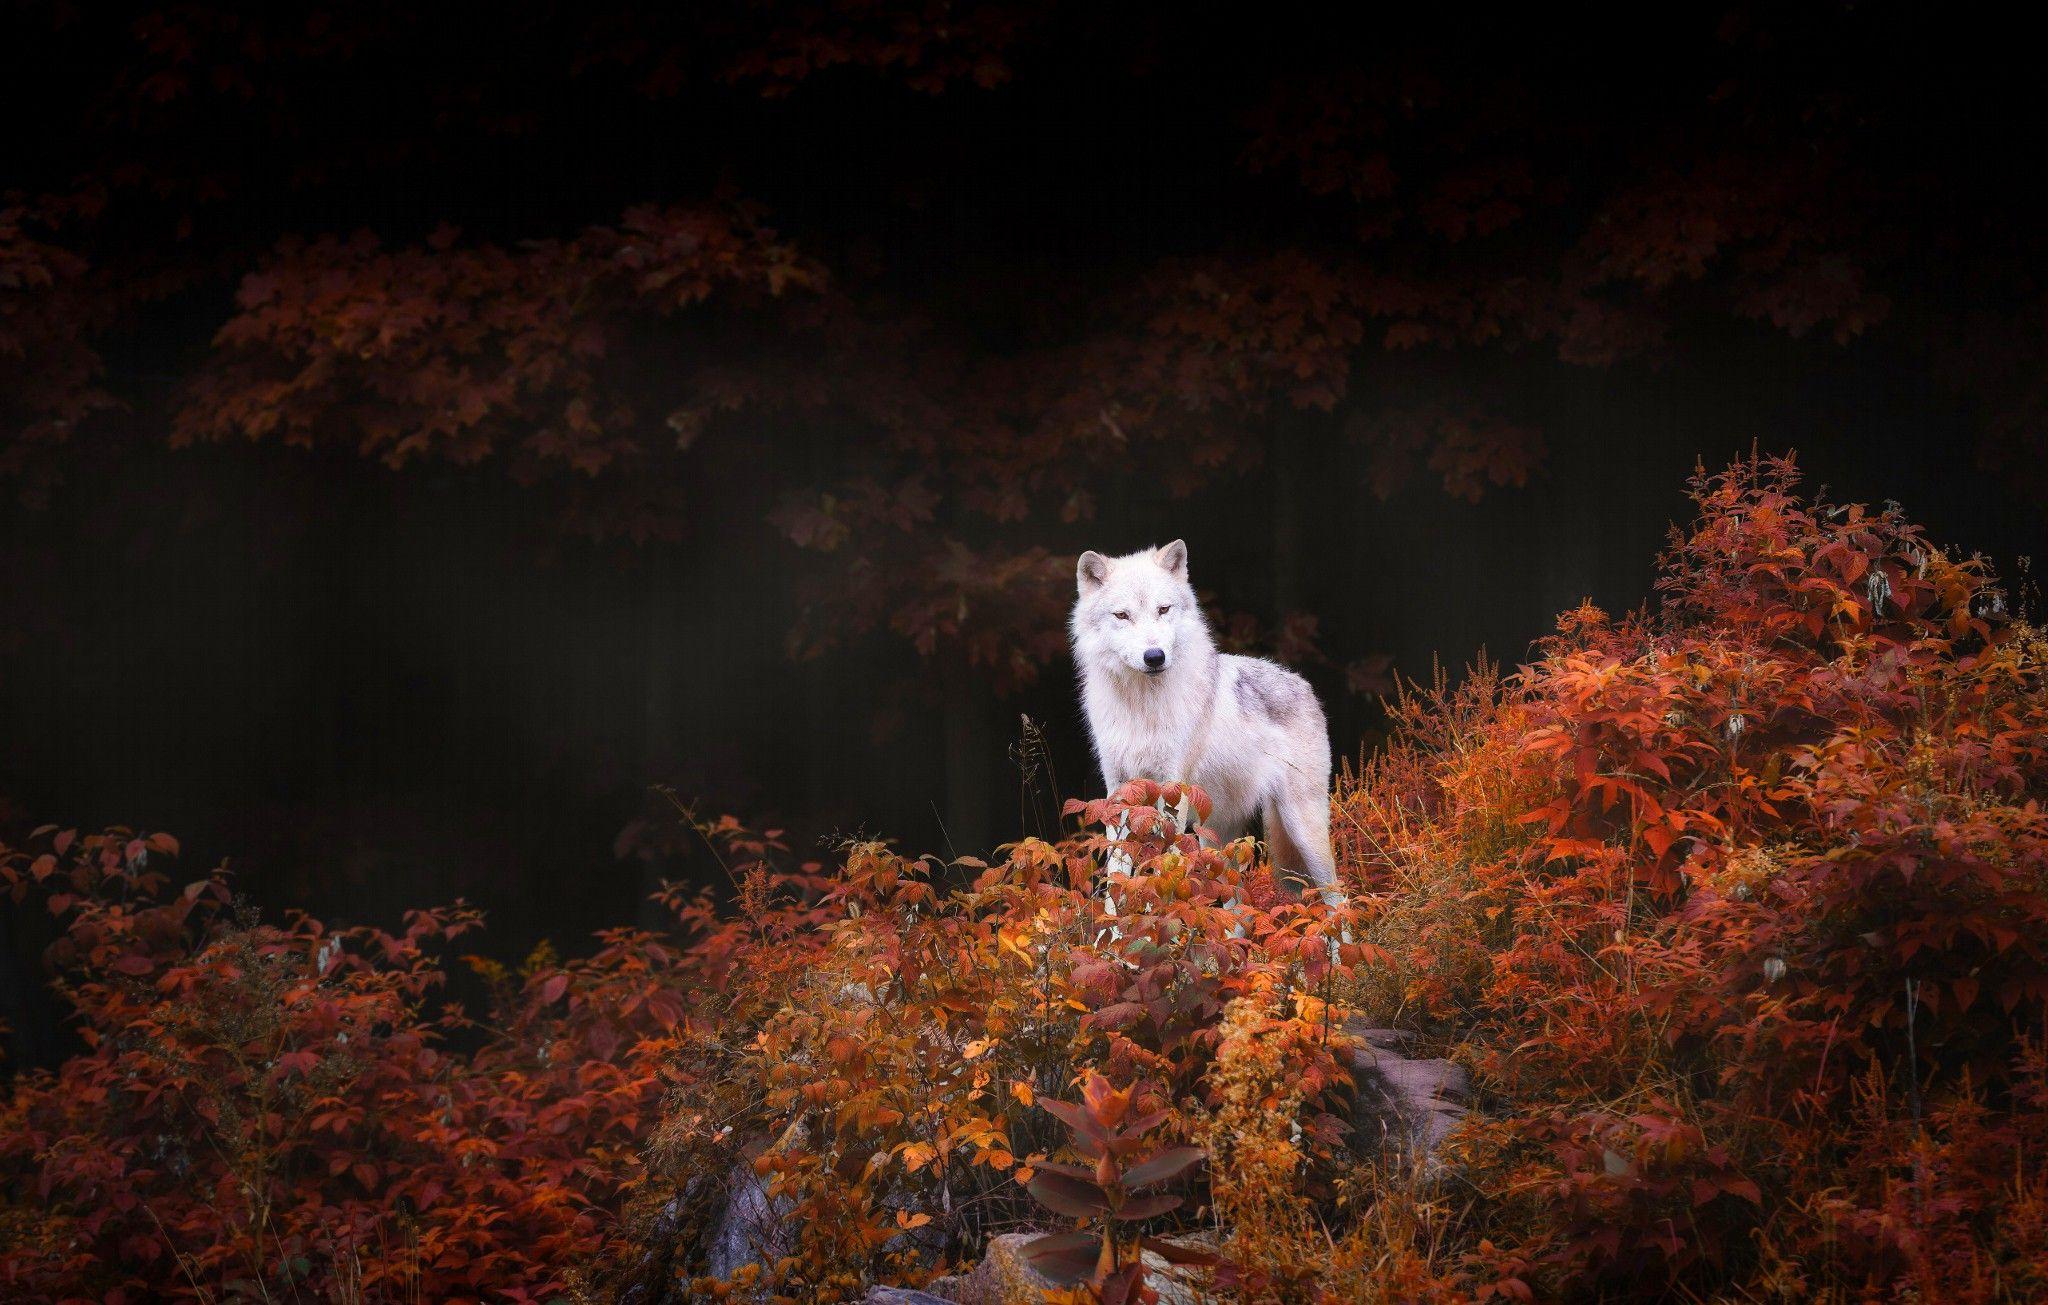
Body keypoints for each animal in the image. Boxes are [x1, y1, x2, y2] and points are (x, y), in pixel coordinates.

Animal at [1071, 539, 1339, 898]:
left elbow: (1161, 866)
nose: (1154, 657)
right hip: (1218, 840)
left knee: (1339, 896)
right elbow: (1118, 870)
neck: (1143, 706)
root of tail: (1303, 683)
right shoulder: (1119, 792)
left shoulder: (1172, 790)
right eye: (1122, 615)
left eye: (1163, 609)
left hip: (1302, 829)